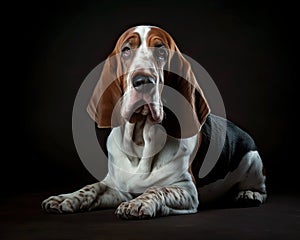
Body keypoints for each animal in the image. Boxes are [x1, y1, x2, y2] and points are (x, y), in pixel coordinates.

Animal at [41, 25, 266, 218]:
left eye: (161, 51)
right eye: (126, 50)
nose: (143, 81)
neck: (140, 140)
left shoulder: (186, 189)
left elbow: (157, 189)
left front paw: (138, 203)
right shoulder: (116, 186)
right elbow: (91, 188)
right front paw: (65, 198)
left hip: (253, 161)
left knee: (261, 188)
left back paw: (249, 194)